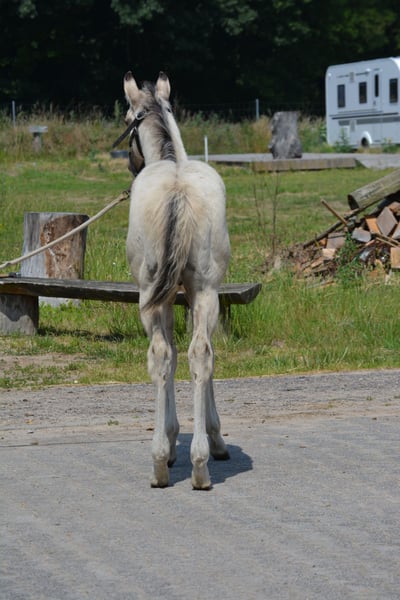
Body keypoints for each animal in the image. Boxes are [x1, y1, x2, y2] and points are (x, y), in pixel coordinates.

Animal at [121, 71, 230, 489]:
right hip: (203, 292)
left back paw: (164, 462)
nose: (131, 164)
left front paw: (173, 441)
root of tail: (179, 191)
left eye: (126, 118)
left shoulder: (168, 298)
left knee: (165, 355)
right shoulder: (189, 296)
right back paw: (196, 464)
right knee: (197, 354)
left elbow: (173, 355)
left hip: (153, 296)